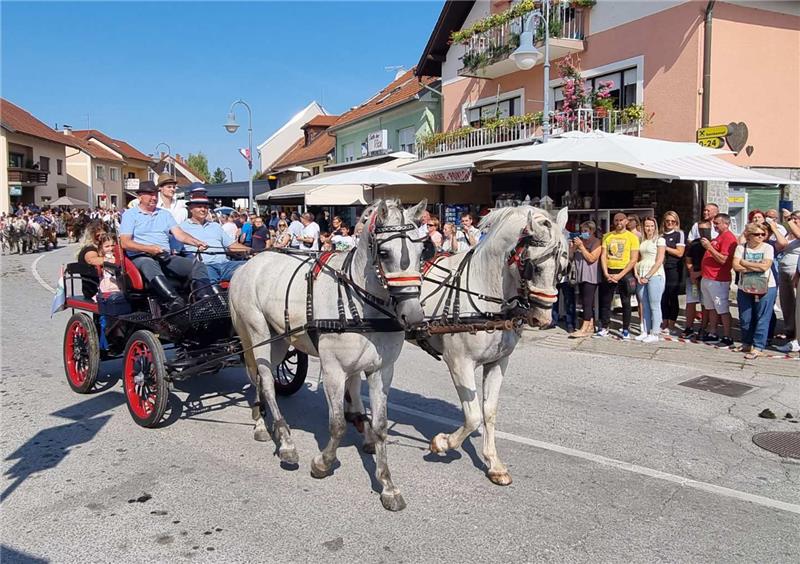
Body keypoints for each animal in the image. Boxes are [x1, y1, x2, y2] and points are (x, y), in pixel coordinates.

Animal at [228, 199, 428, 512]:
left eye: (422, 252)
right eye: (384, 253)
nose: (415, 316)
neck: (361, 306)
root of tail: (248, 264)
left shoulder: (381, 371)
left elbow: (380, 425)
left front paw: (387, 485)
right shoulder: (335, 370)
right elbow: (337, 424)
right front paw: (323, 462)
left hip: (279, 342)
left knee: (260, 378)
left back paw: (262, 422)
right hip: (257, 333)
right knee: (266, 382)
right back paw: (285, 442)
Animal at [344, 207, 568, 484]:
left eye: (563, 266)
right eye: (533, 266)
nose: (544, 319)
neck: (483, 292)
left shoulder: (498, 362)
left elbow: (489, 412)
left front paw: (494, 464)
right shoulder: (460, 362)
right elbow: (472, 417)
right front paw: (441, 443)